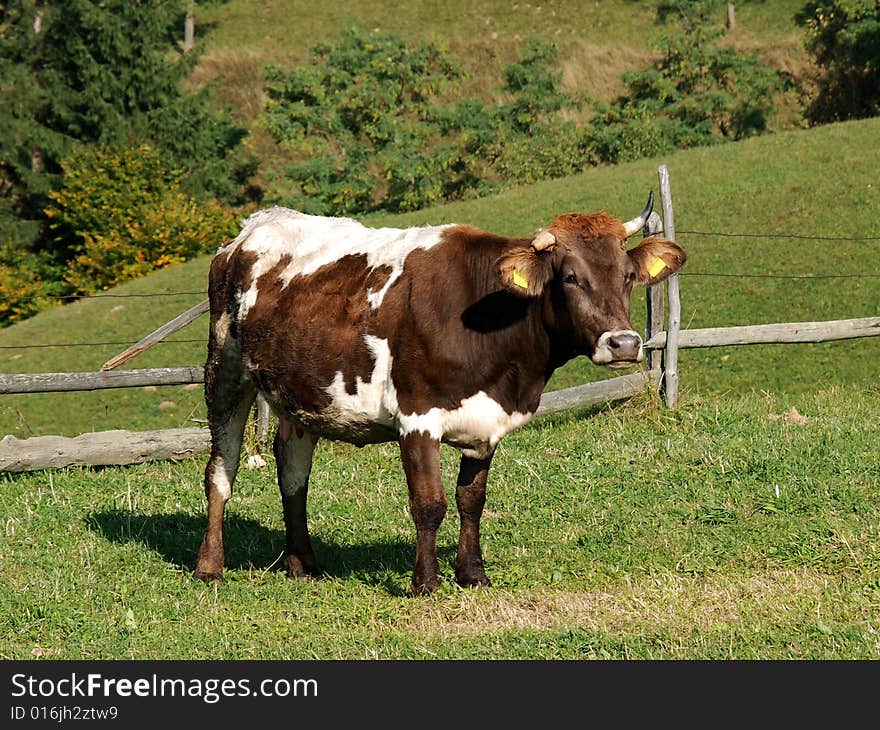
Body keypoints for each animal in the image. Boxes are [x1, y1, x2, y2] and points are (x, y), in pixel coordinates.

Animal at [196, 192, 684, 592]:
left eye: (627, 275)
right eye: (569, 277)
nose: (624, 343)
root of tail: (254, 227)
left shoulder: (486, 422)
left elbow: (472, 501)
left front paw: (472, 574)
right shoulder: (416, 415)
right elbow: (429, 503)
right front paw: (426, 582)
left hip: (304, 395)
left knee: (294, 471)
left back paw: (303, 564)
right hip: (224, 371)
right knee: (221, 469)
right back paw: (210, 567)